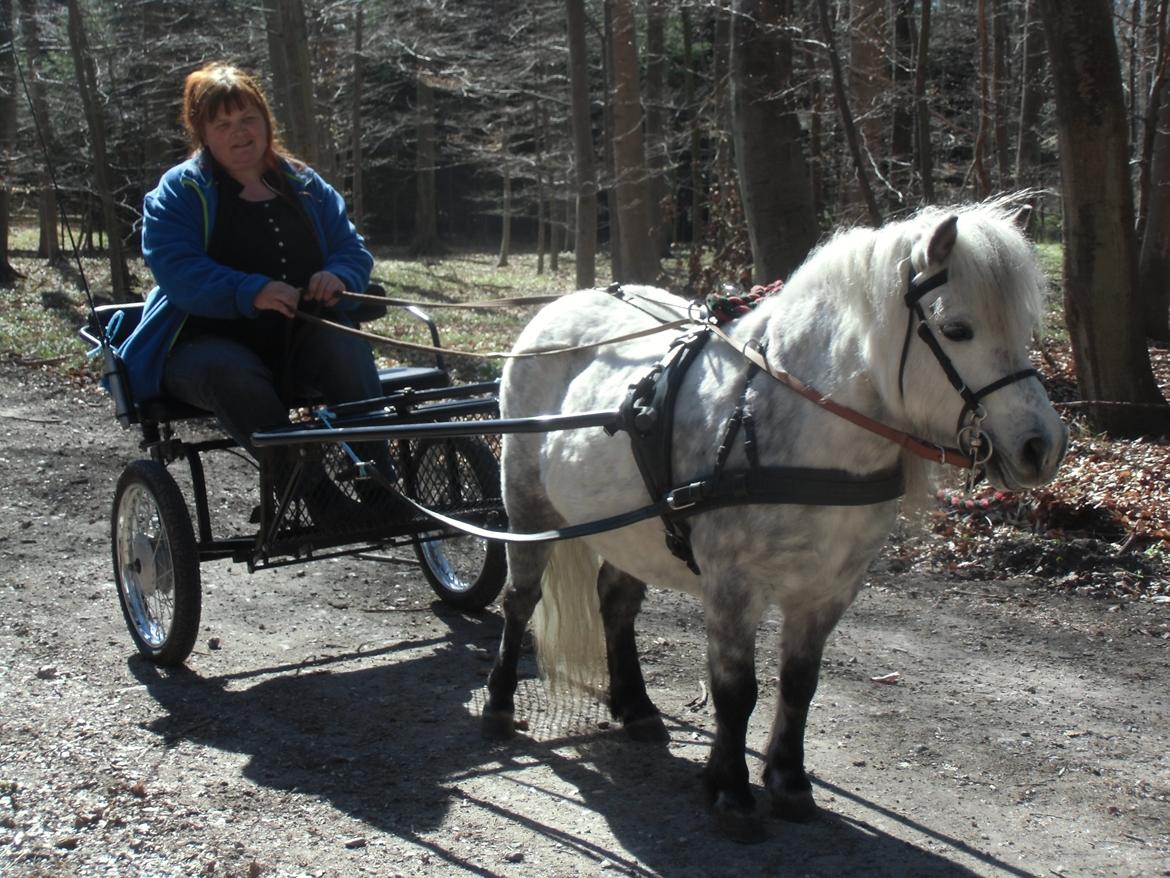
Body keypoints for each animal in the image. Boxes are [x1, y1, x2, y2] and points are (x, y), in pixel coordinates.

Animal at [479, 199, 1067, 838]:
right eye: (957, 329)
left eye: (1023, 330)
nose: (1044, 446)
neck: (781, 423)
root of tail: (559, 307)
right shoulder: (733, 586)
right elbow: (736, 690)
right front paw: (731, 790)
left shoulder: (829, 589)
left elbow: (799, 683)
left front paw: (787, 780)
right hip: (528, 505)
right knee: (520, 600)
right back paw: (500, 703)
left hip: (627, 528)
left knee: (615, 602)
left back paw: (634, 706)